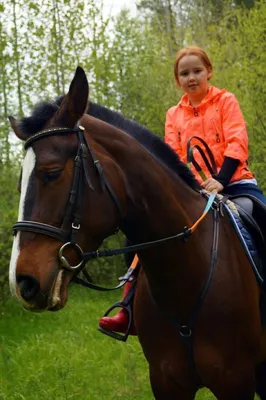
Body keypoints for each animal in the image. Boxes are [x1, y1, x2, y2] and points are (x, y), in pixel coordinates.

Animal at [9, 67, 266, 398]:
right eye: (20, 184)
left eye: (51, 173)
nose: (23, 282)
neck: (187, 272)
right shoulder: (166, 380)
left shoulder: (235, 380)